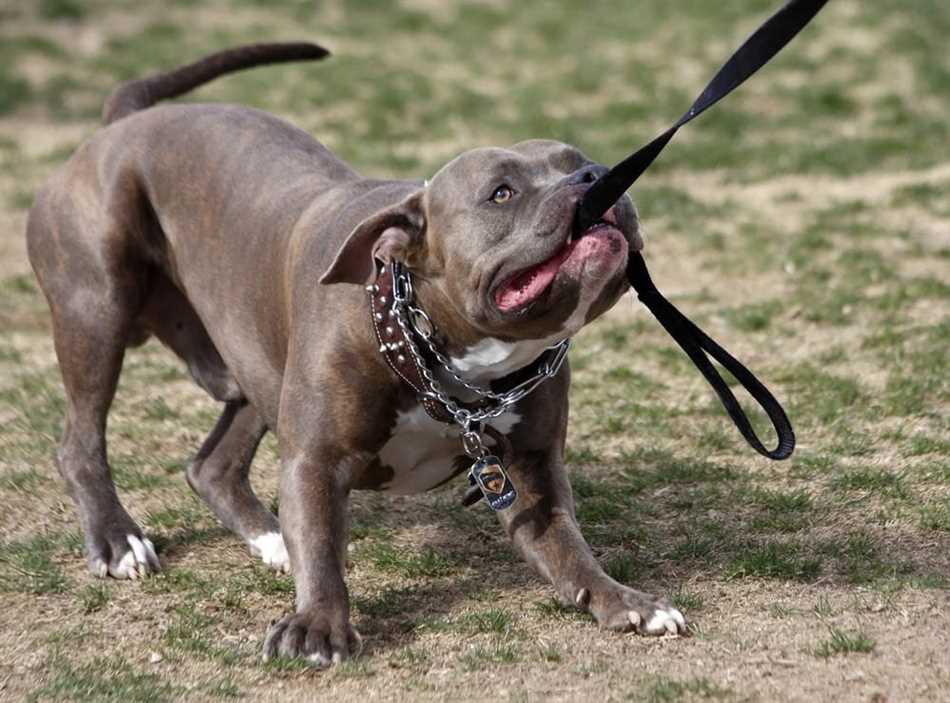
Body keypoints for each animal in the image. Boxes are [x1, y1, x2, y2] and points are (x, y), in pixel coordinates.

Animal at [26, 45, 688, 664]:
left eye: (577, 161)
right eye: (502, 193)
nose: (598, 175)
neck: (442, 356)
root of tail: (122, 123)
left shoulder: (531, 472)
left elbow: (570, 551)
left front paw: (627, 601)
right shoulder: (317, 460)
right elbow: (323, 546)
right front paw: (318, 627)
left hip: (253, 359)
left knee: (212, 463)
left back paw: (269, 540)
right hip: (97, 312)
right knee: (80, 441)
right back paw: (118, 542)